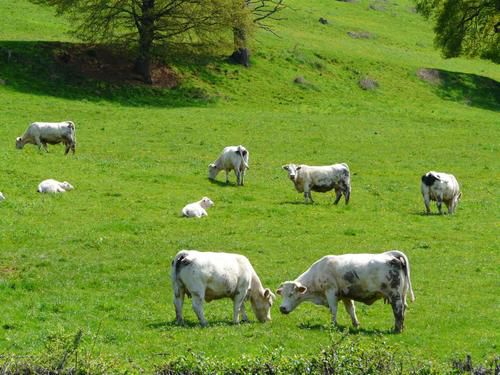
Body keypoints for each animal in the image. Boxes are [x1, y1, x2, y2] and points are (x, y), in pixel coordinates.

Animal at [278, 251, 414, 334]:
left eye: (291, 294)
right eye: (282, 294)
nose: (282, 308)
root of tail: (392, 255)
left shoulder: (331, 291)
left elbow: (333, 309)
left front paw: (333, 324)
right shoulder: (345, 295)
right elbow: (351, 310)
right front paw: (356, 324)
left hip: (395, 295)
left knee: (398, 311)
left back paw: (397, 329)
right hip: (402, 294)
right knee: (404, 309)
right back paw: (402, 327)